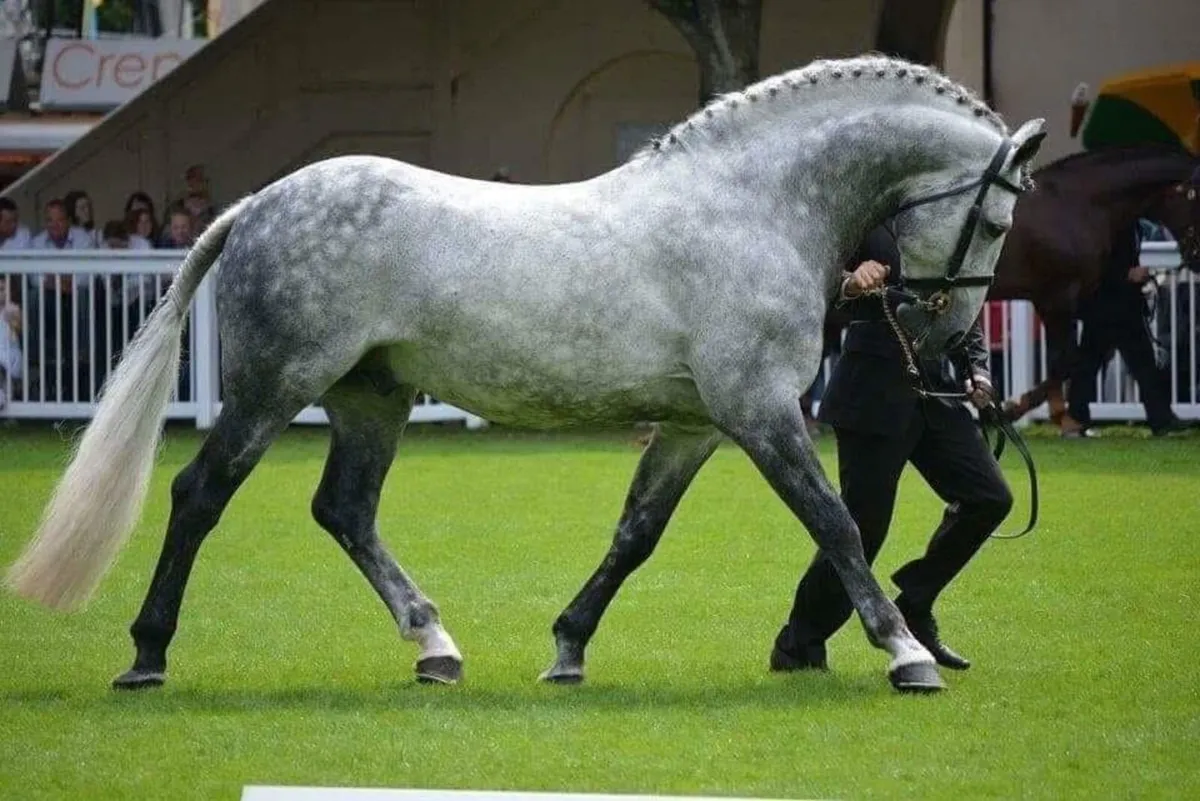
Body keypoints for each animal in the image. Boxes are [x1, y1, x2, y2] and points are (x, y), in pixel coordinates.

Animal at [4, 55, 1046, 695]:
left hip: (371, 397)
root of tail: (259, 201)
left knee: (344, 510)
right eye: (998, 219)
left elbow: (636, 535)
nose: (946, 341)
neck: (750, 207)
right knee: (200, 493)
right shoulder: (759, 412)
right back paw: (147, 654)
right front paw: (905, 652)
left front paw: (568, 646)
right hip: (273, 385)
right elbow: (835, 521)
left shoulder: (696, 425)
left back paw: (435, 646)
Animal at [802, 145, 1200, 430]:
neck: (1078, 204)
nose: (1195, 258)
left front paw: (1060, 413)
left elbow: (1089, 353)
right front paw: (1025, 409)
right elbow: (1065, 359)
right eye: (1195, 197)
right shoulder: (1056, 297)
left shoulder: (1087, 299)